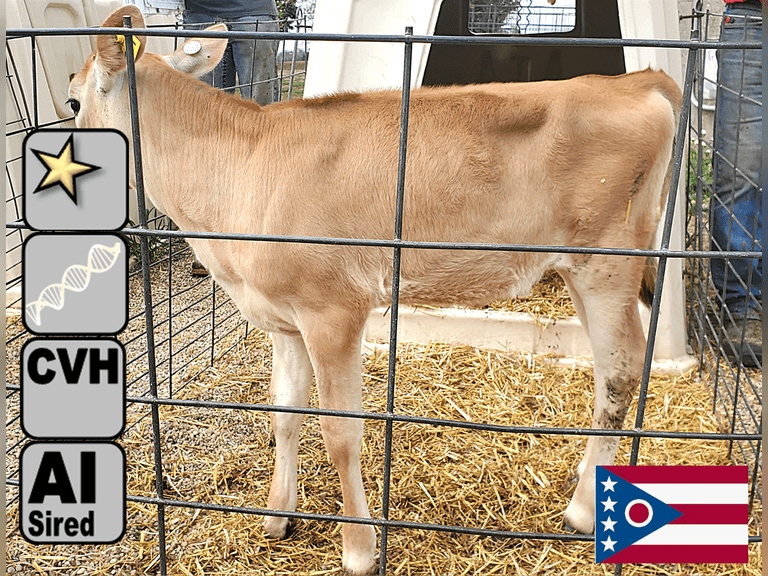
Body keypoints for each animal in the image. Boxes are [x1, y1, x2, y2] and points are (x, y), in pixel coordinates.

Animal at [68, 6, 682, 574]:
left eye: (72, 102)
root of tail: (636, 81)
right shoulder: (283, 318)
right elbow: (284, 412)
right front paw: (277, 515)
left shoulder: (332, 312)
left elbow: (340, 433)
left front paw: (359, 549)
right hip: (581, 268)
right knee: (607, 366)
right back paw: (593, 475)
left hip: (607, 258)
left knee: (623, 366)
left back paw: (583, 510)